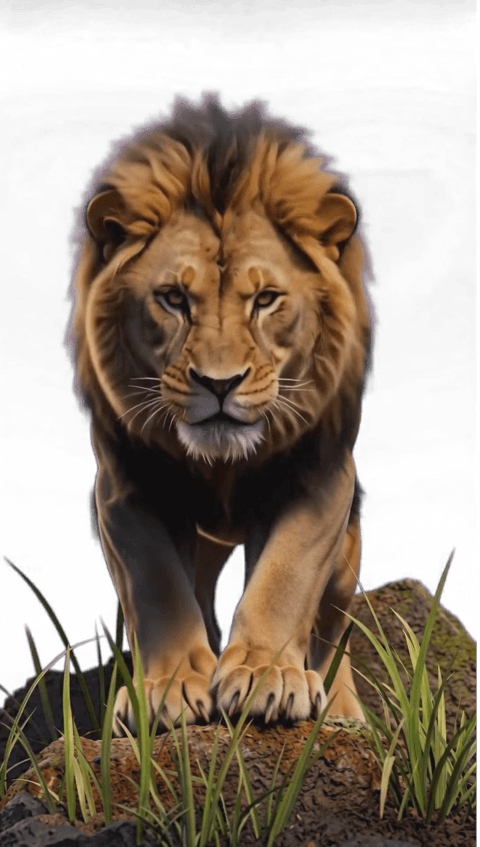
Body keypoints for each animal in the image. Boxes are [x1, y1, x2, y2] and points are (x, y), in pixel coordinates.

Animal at [65, 93, 376, 736]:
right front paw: (169, 687)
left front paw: (265, 676)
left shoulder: (323, 479)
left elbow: (284, 578)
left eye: (266, 300)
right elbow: (158, 586)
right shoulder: (125, 487)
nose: (218, 383)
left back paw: (340, 712)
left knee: (332, 630)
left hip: (344, 561)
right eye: (173, 299)